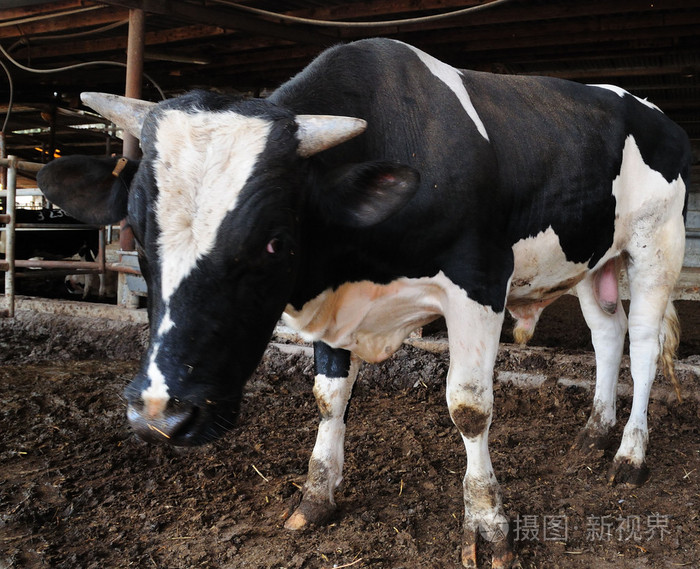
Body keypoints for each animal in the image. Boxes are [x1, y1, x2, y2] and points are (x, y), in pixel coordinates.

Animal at [37, 37, 688, 564]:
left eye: (274, 240)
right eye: (138, 232)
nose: (159, 415)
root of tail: (652, 110)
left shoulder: (479, 281)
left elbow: (468, 408)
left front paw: (489, 527)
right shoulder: (338, 302)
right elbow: (329, 397)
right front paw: (317, 495)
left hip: (656, 243)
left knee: (643, 346)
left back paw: (629, 454)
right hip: (594, 259)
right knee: (606, 334)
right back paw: (596, 430)